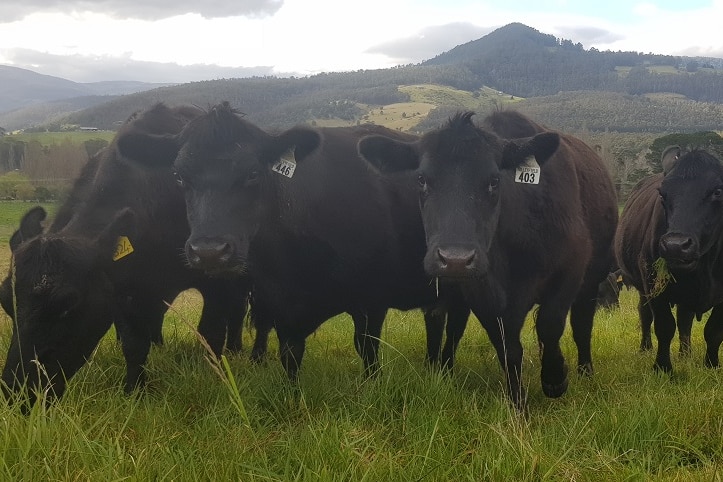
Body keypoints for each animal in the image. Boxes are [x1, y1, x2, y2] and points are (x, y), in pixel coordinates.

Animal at [0, 102, 264, 406]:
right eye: (6, 300)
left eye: (69, 303)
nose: (15, 390)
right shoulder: (123, 288)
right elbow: (133, 343)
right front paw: (134, 390)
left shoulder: (217, 277)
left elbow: (211, 332)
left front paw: (216, 378)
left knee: (240, 312)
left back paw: (238, 351)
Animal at [118, 101, 470, 380]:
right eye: (179, 176)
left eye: (253, 173)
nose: (209, 252)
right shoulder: (277, 301)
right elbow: (289, 354)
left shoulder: (372, 298)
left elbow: (367, 347)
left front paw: (372, 385)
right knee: (436, 320)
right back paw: (432, 366)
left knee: (454, 328)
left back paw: (446, 371)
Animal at [360, 110, 620, 410]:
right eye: (421, 179)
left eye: (495, 180)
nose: (456, 259)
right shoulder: (481, 292)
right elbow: (507, 346)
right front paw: (518, 402)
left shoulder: (570, 269)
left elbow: (550, 325)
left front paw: (555, 378)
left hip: (593, 279)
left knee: (581, 324)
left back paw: (585, 371)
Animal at [612, 145, 723, 370]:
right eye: (662, 195)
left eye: (717, 191)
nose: (675, 245)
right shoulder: (654, 283)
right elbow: (664, 326)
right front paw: (662, 367)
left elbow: (714, 331)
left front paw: (712, 365)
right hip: (643, 288)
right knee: (645, 314)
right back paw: (645, 348)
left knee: (684, 320)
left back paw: (685, 353)